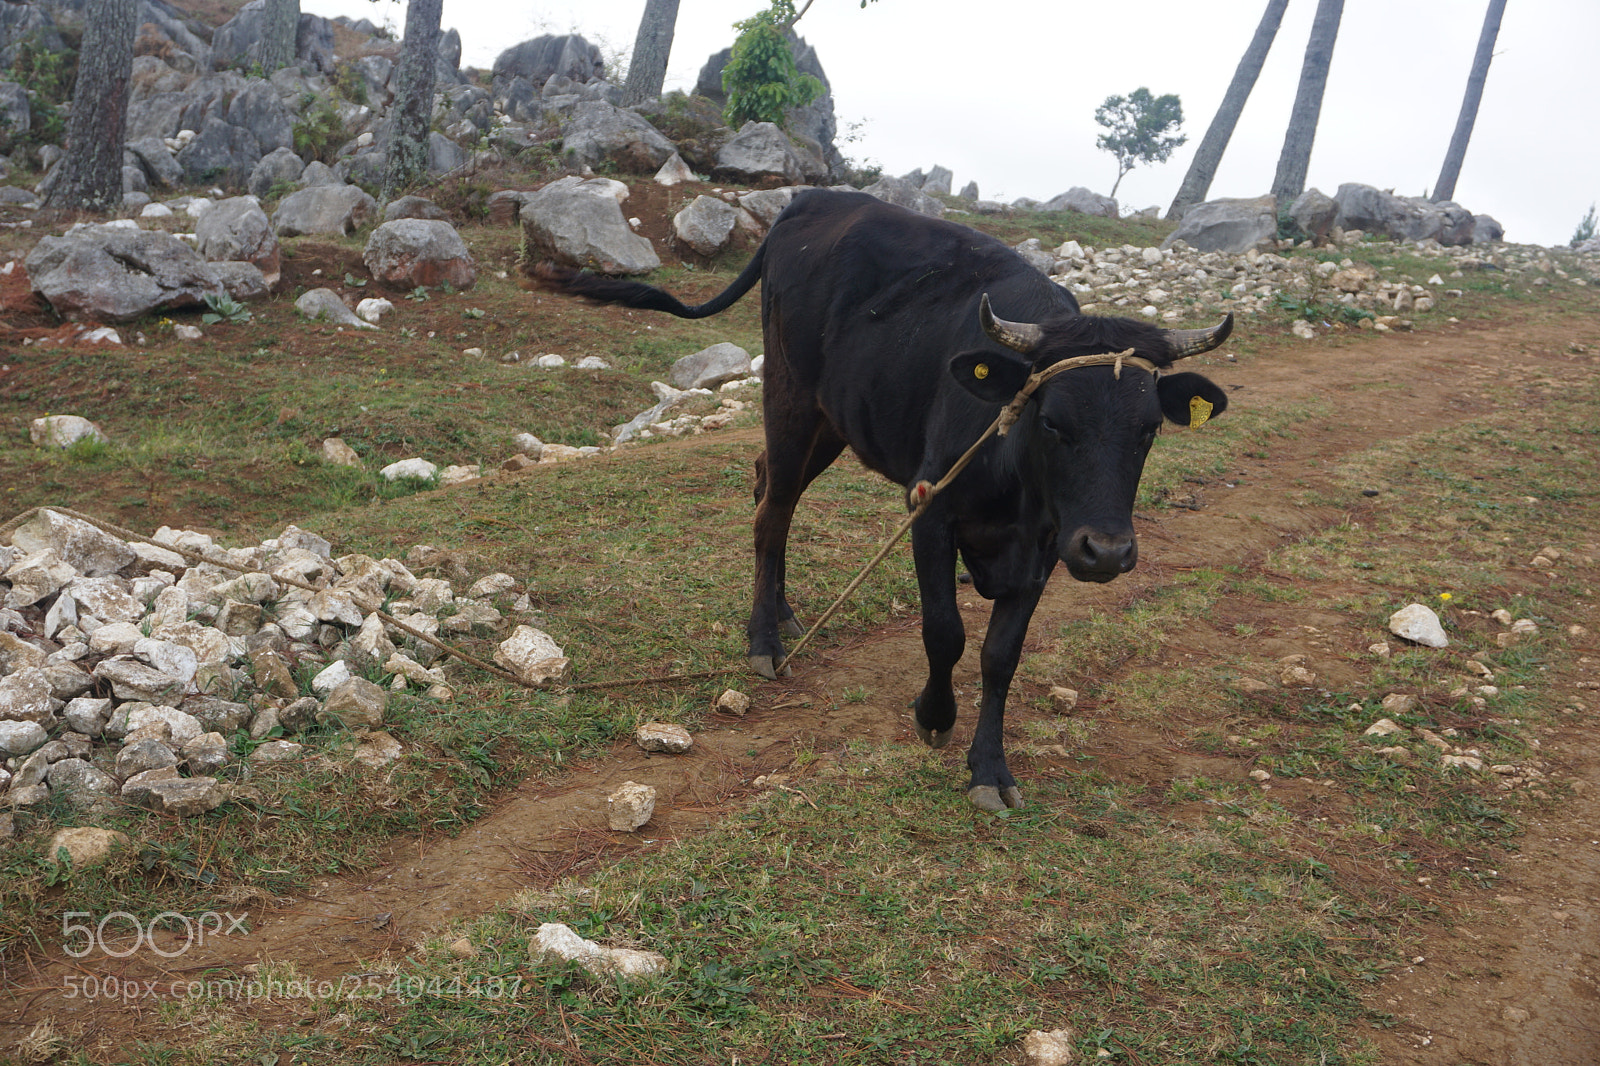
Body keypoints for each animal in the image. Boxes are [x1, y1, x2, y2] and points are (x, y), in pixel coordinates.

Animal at [533, 188, 1231, 812]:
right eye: (1054, 422)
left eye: (1148, 429)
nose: (1108, 552)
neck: (1010, 468)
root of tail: (808, 200)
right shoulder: (932, 513)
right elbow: (945, 632)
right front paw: (934, 715)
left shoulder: (1047, 546)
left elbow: (1001, 656)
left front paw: (990, 769)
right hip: (788, 397)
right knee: (770, 514)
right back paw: (764, 640)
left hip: (833, 421)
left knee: (770, 490)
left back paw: (783, 610)